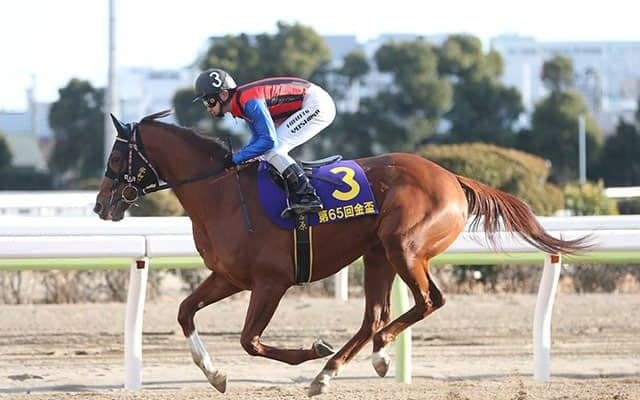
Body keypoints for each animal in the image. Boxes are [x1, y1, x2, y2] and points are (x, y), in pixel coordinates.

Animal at [94, 110, 590, 396]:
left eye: (116, 157)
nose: (100, 206)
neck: (222, 193)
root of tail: (452, 177)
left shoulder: (271, 282)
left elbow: (250, 340)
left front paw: (312, 349)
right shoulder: (229, 278)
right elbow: (184, 312)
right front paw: (215, 374)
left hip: (404, 247)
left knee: (428, 300)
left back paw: (364, 356)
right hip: (377, 254)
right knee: (375, 315)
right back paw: (344, 366)